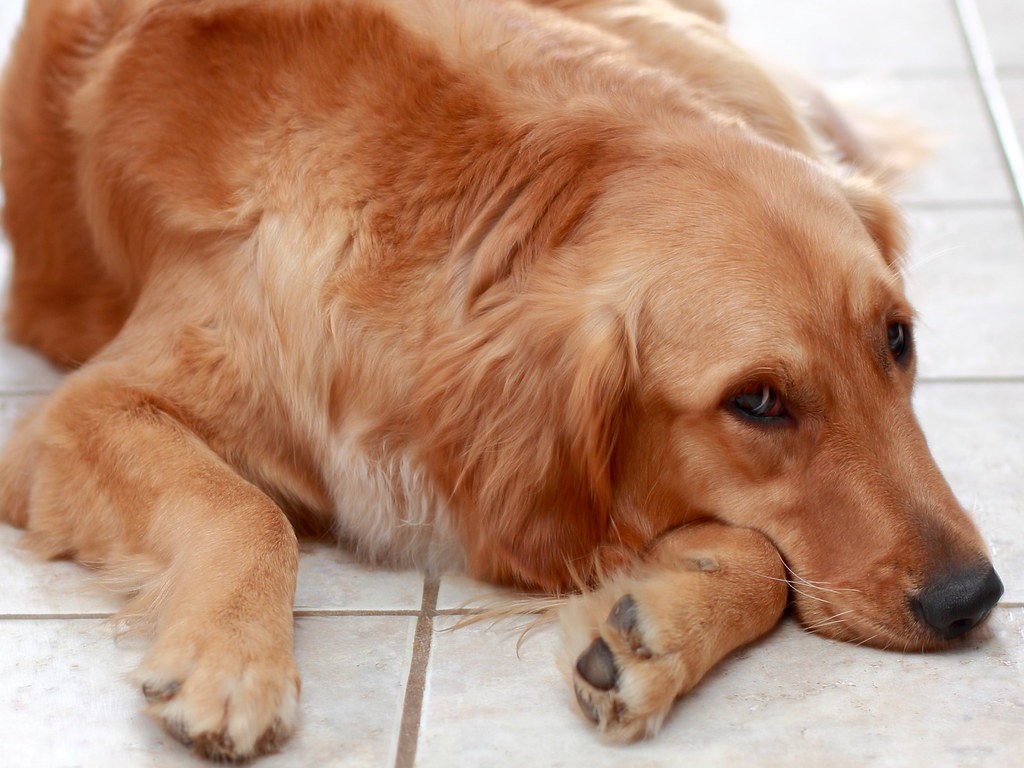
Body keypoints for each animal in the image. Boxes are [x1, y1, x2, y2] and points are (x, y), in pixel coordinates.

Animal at [0, 0, 999, 761]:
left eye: (898, 340)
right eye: (756, 401)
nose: (974, 599)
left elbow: (763, 559)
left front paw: (653, 629)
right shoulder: (74, 416)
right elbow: (244, 508)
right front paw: (231, 663)